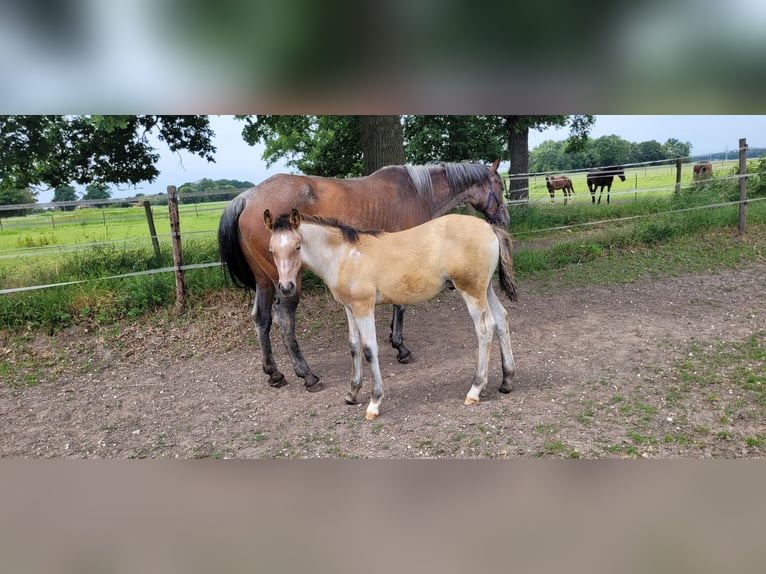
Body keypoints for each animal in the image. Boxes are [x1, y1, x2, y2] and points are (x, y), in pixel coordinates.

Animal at [218, 160, 510, 393]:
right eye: (500, 186)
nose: (504, 220)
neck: (416, 192)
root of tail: (245, 198)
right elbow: (400, 304)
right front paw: (401, 347)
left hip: (265, 280)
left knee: (261, 318)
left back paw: (274, 372)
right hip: (288, 281)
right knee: (284, 319)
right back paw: (307, 375)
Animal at [264, 209, 518, 420]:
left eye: (297, 246)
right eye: (272, 250)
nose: (286, 287)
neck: (345, 256)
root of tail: (489, 227)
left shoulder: (364, 306)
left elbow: (369, 349)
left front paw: (374, 403)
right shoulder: (349, 307)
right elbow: (353, 346)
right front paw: (352, 393)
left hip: (471, 290)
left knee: (485, 329)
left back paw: (475, 389)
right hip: (485, 288)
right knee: (502, 319)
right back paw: (507, 380)